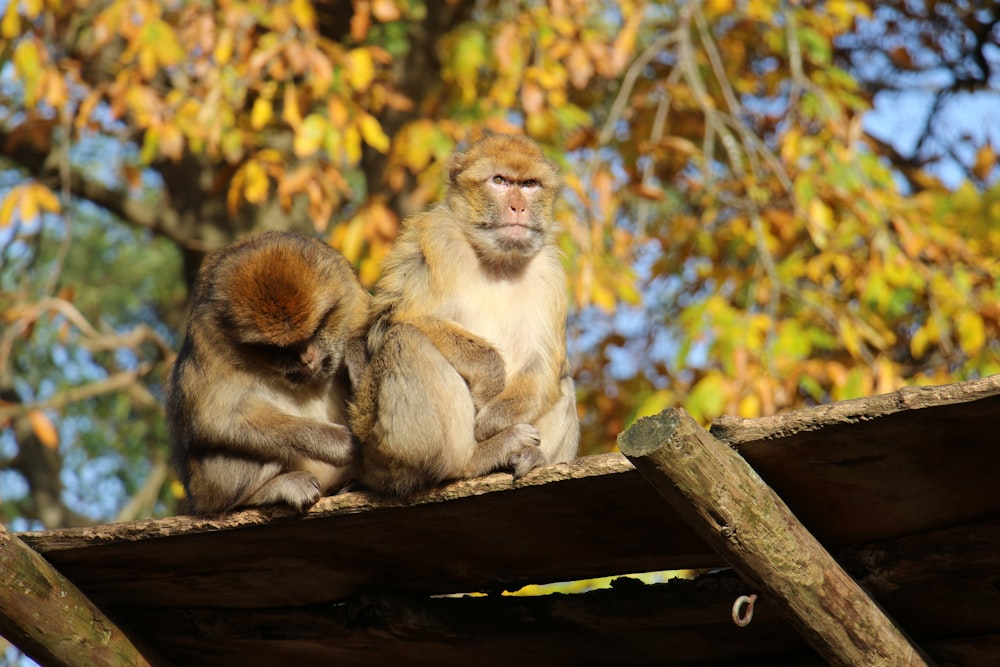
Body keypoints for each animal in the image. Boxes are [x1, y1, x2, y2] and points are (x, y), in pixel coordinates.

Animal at [166, 231, 374, 516]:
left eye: (316, 330)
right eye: (277, 349)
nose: (307, 359)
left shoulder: (352, 296)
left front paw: (355, 353)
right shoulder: (208, 340)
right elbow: (218, 419)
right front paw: (339, 442)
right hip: (208, 488)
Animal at [352, 134, 584, 496]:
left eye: (529, 184)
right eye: (500, 181)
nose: (518, 207)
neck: (498, 261)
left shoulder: (550, 275)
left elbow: (543, 362)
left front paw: (491, 422)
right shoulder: (438, 239)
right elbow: (397, 319)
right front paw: (490, 383)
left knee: (562, 379)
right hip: (381, 446)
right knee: (407, 341)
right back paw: (476, 458)